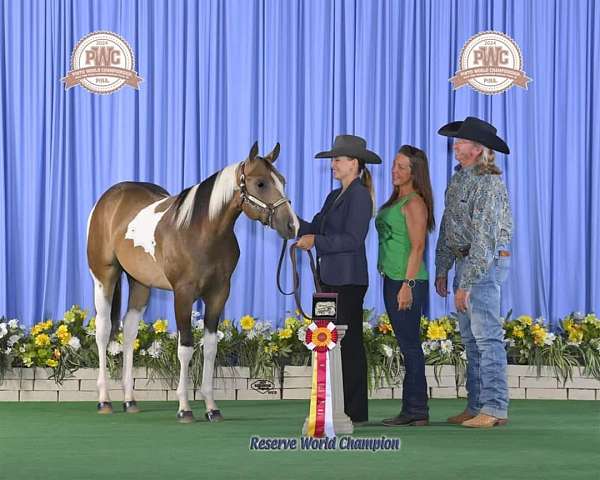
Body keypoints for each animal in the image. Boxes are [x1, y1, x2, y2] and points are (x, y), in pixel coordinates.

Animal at [86, 143, 298, 424]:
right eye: (261, 183)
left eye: (282, 180)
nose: (292, 225)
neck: (200, 232)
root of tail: (109, 198)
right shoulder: (183, 294)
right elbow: (185, 348)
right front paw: (184, 408)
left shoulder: (219, 293)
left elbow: (210, 347)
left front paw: (211, 408)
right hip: (104, 276)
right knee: (103, 329)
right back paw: (104, 400)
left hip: (140, 283)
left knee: (129, 331)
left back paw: (130, 400)